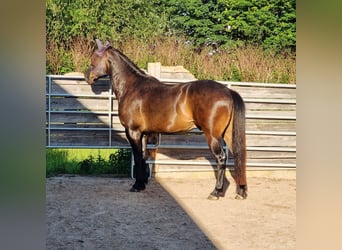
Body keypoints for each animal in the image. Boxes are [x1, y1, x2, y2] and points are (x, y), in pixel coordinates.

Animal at [84, 39, 247, 199]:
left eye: (94, 58)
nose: (87, 76)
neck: (132, 87)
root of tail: (228, 91)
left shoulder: (133, 132)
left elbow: (137, 157)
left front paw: (137, 186)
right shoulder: (143, 134)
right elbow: (144, 157)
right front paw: (142, 184)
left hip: (212, 136)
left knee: (221, 158)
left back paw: (216, 192)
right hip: (228, 134)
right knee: (239, 156)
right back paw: (241, 192)